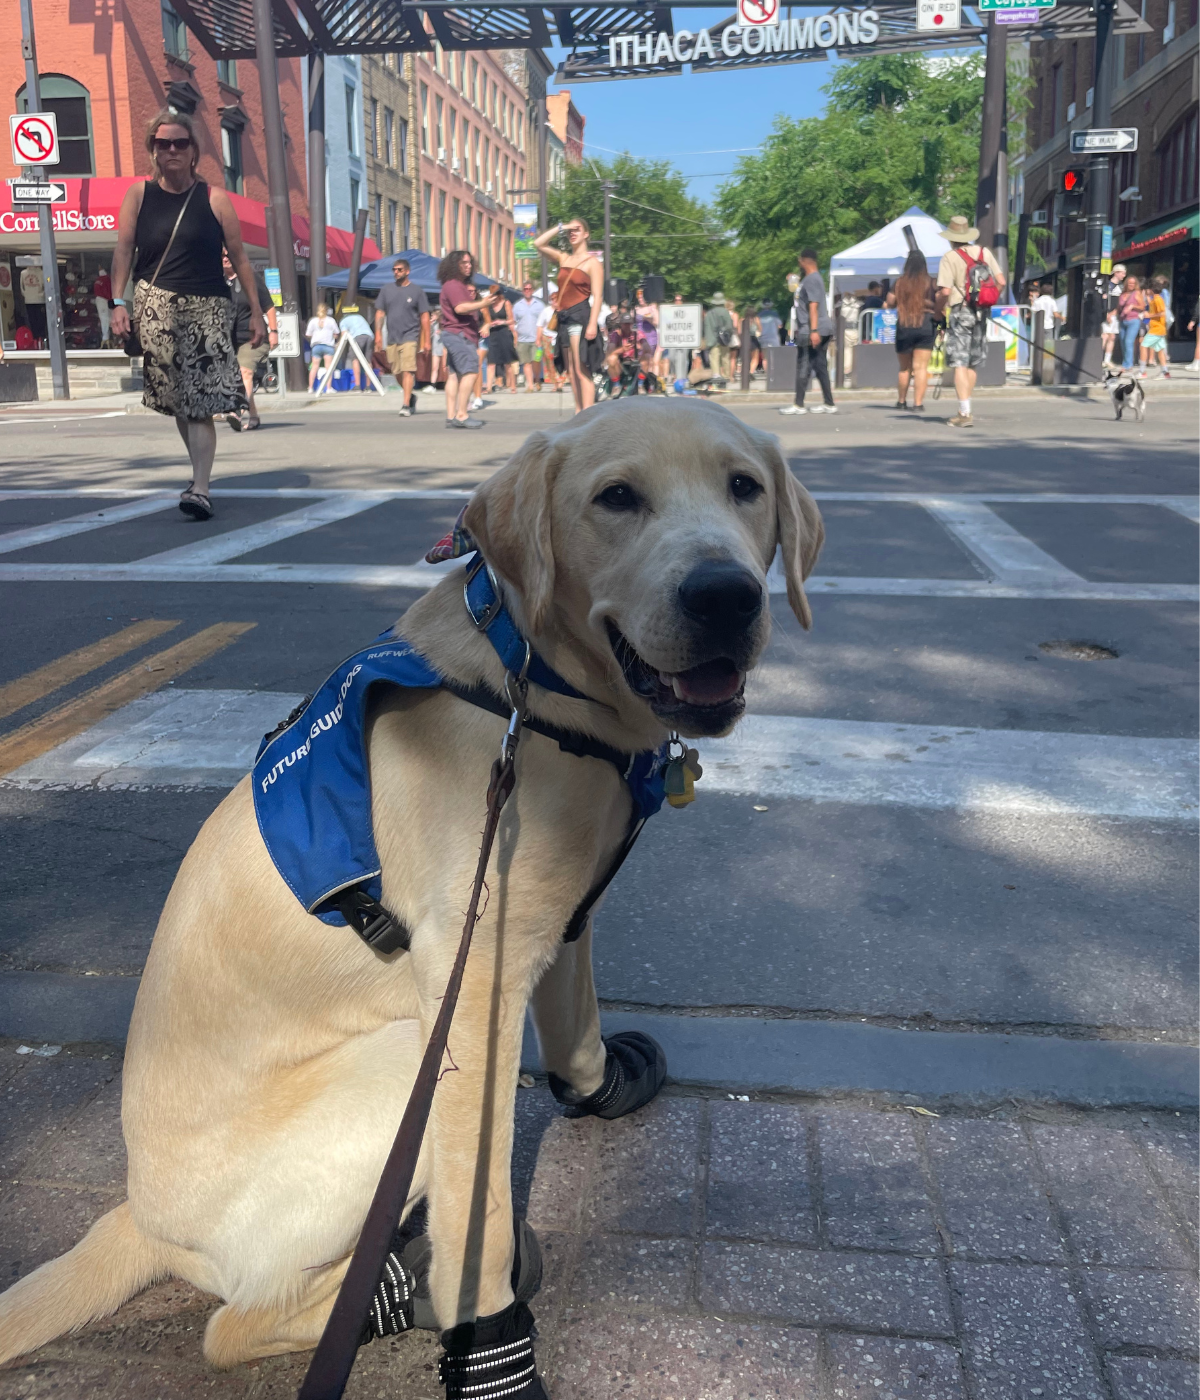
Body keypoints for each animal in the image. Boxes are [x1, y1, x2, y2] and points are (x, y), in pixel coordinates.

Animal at [0, 392, 817, 1388]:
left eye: (744, 487)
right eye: (616, 498)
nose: (725, 595)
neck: (529, 681)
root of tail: (138, 1219)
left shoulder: (558, 917)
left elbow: (577, 1027)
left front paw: (606, 1084)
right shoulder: (475, 990)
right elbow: (481, 1215)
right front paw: (495, 1348)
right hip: (399, 1065)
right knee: (234, 1325)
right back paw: (399, 1290)